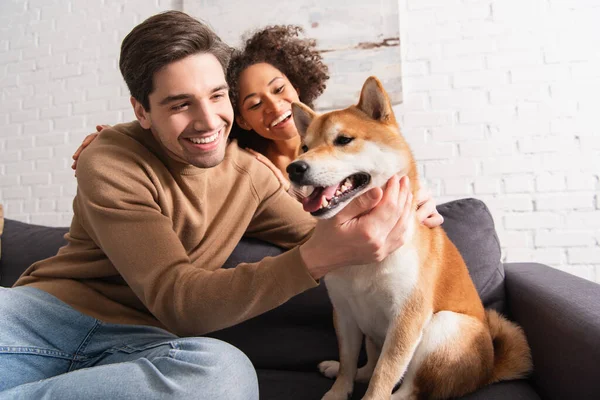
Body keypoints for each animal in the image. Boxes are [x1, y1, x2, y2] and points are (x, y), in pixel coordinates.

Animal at [288, 76, 532, 400]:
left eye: (343, 140)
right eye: (304, 146)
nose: (294, 168)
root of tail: (487, 372)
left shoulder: (407, 317)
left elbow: (384, 375)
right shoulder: (344, 312)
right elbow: (348, 361)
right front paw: (338, 391)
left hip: (444, 327)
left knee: (410, 391)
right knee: (367, 364)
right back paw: (340, 369)